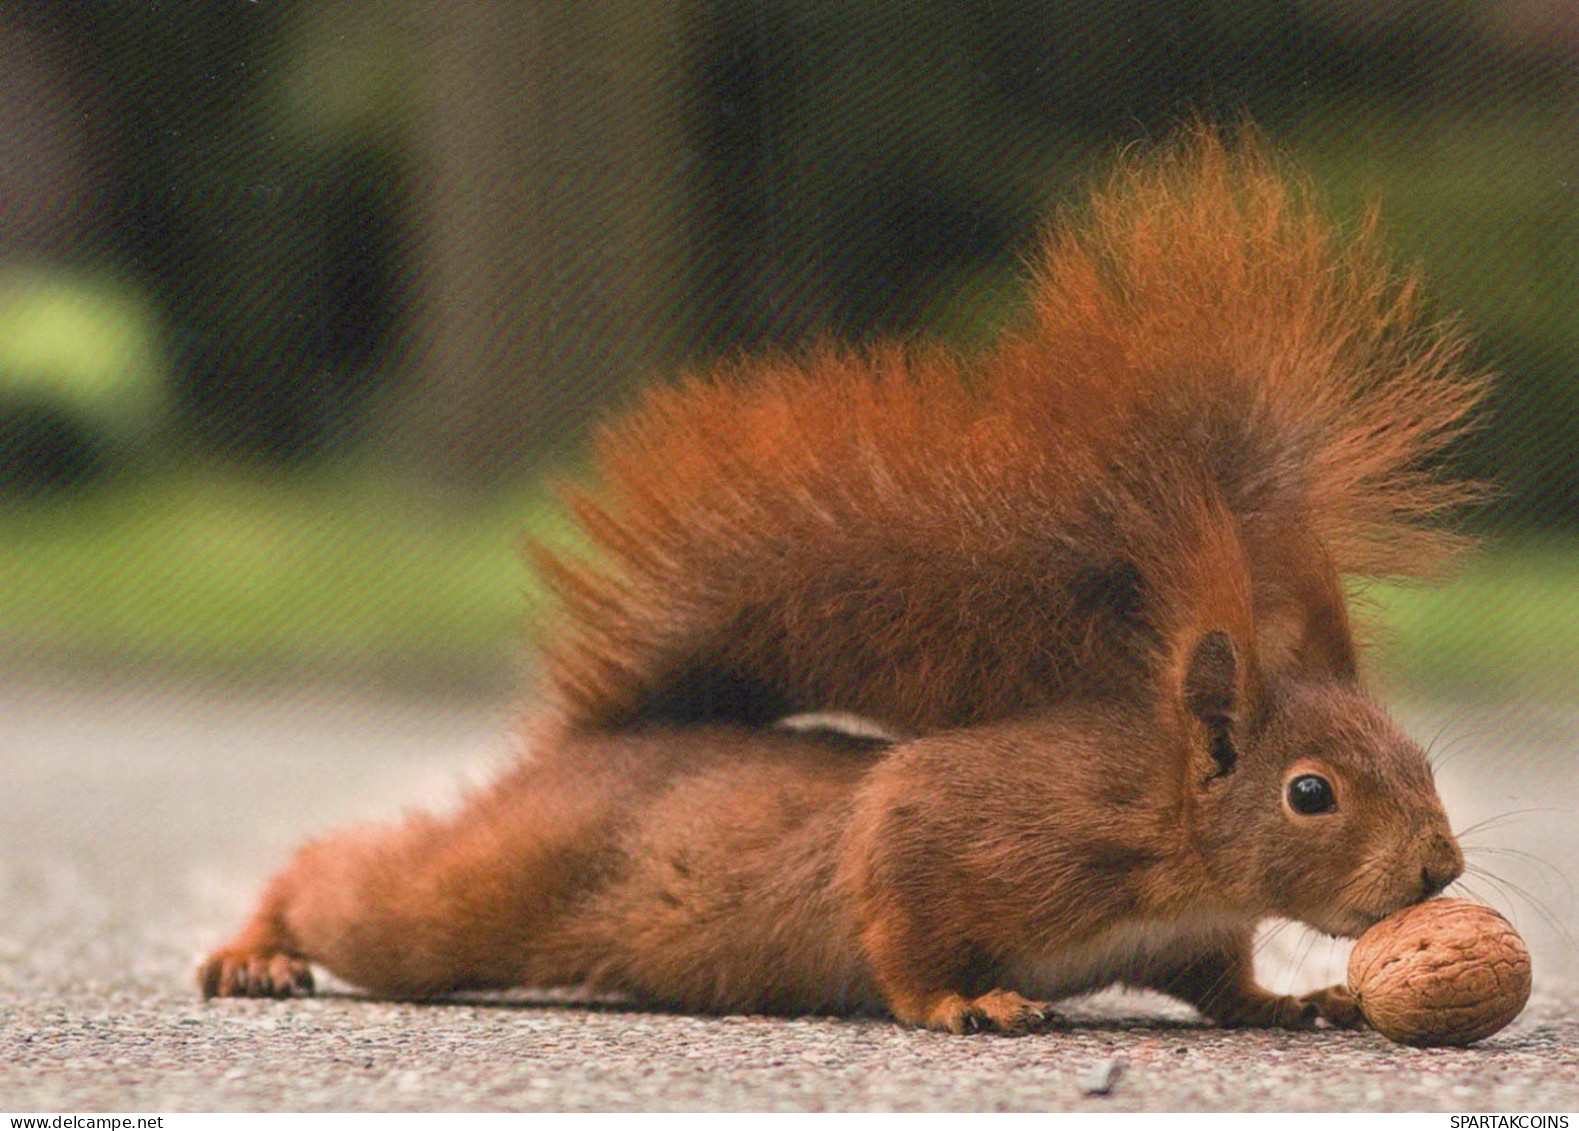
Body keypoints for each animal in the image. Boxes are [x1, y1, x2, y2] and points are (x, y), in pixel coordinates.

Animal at [197, 125, 1477, 1036]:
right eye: (1309, 793)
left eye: (1421, 762)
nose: (1441, 868)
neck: (1166, 833)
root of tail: (585, 752)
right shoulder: (952, 827)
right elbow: (894, 908)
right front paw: (961, 1002)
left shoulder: (1190, 937)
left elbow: (1223, 985)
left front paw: (1292, 999)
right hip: (473, 898)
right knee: (350, 884)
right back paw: (256, 948)